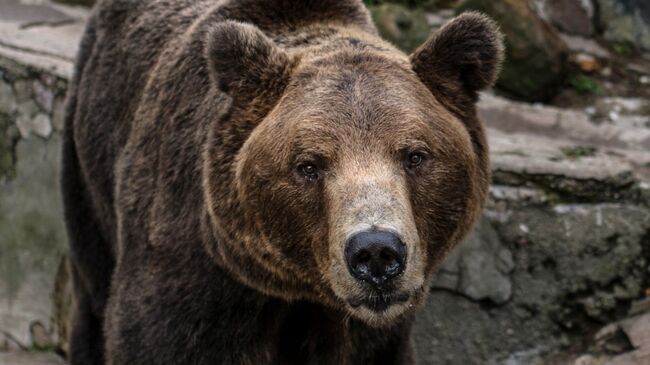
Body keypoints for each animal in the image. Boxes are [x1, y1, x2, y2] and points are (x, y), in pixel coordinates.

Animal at [62, 0, 502, 364]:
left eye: (415, 156)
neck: (300, 289)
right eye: (309, 165)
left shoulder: (373, 330)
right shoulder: (194, 271)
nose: (376, 252)